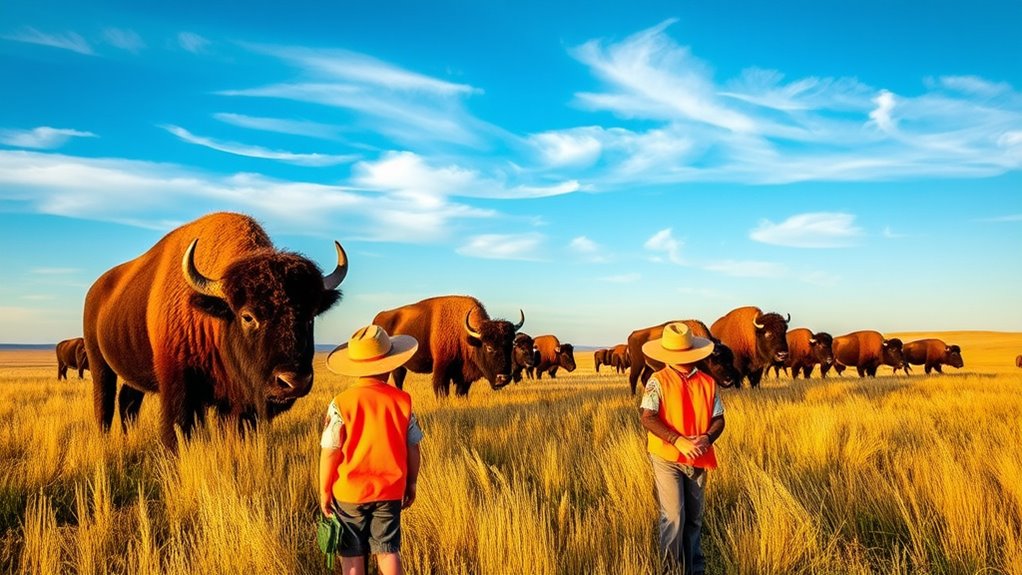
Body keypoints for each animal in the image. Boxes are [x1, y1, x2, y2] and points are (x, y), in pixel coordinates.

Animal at [83, 212, 347, 449]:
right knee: (104, 403)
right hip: (99, 362)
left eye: (310, 317)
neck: (215, 315)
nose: (294, 382)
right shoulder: (179, 388)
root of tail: (95, 291)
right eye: (247, 317)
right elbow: (177, 432)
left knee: (128, 402)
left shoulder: (235, 404)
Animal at [372, 295, 524, 397]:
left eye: (510, 346)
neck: (464, 334)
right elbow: (441, 391)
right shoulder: (441, 369)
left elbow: (461, 392)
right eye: (489, 347)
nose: (504, 378)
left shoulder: (464, 378)